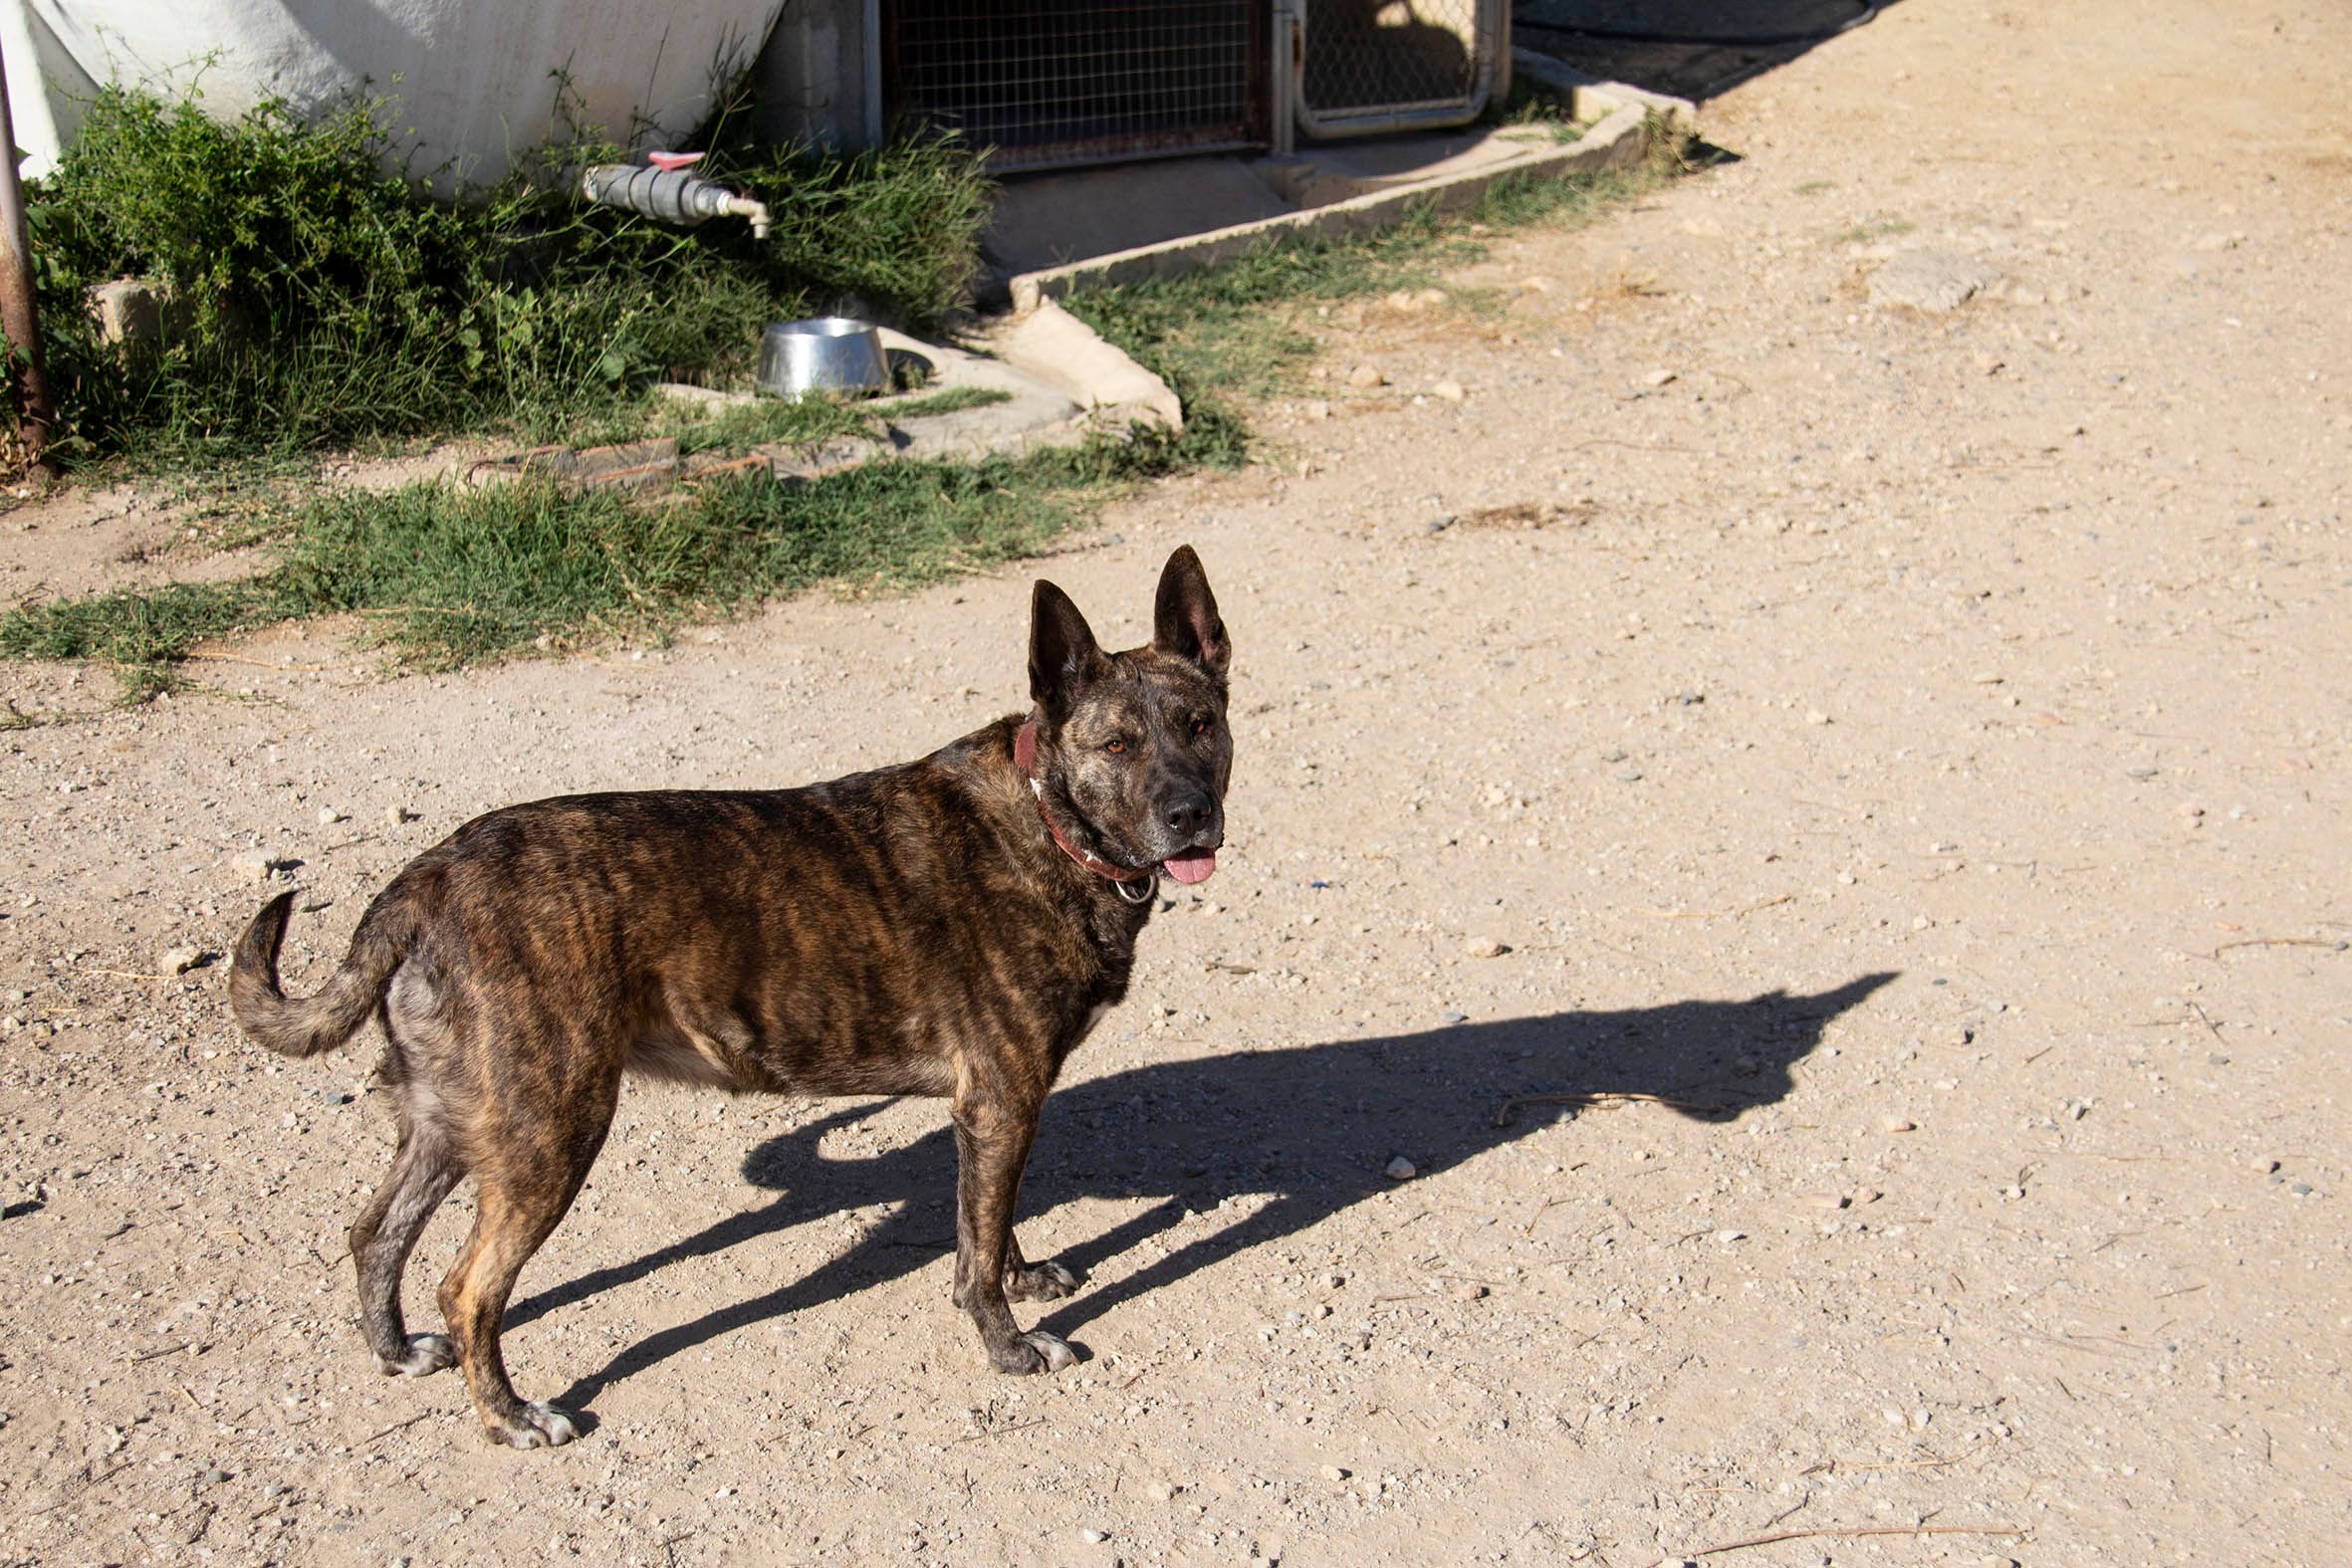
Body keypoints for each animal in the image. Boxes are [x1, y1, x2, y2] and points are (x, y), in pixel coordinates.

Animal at [228, 547, 1232, 1448]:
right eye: (1117, 745)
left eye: (1200, 725)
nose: (1192, 816)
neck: (1050, 818)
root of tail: (425, 878)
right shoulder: (1001, 1099)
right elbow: (975, 1253)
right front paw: (1009, 1345)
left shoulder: (993, 1113)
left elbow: (990, 1224)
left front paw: (1021, 1282)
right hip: (550, 1132)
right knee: (466, 1288)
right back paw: (511, 1417)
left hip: (454, 1123)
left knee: (373, 1234)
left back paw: (395, 1351)